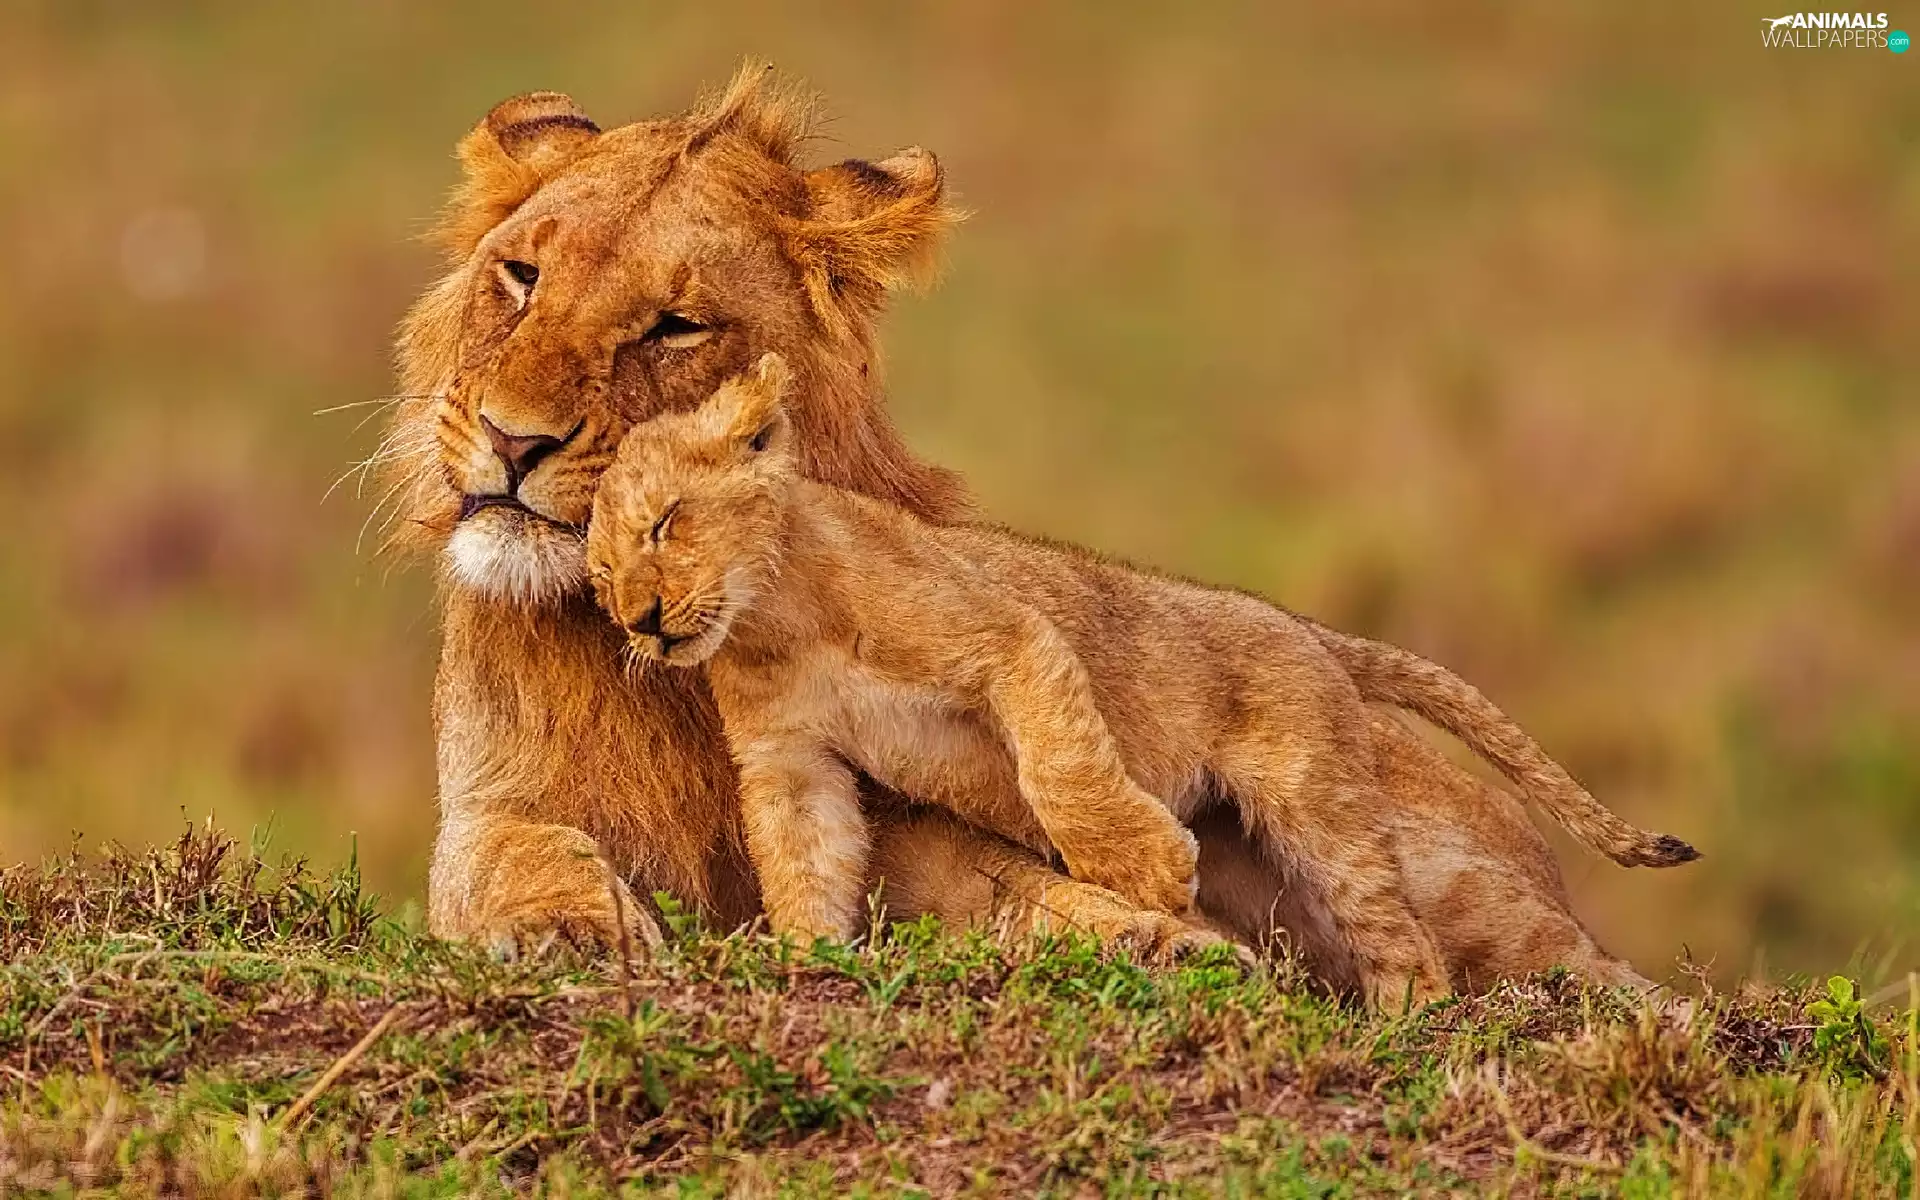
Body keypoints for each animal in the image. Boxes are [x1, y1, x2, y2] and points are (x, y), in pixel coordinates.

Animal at [377, 62, 1686, 990]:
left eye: (673, 327)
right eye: (520, 277)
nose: (512, 442)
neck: (644, 667)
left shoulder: (924, 806)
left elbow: (1022, 889)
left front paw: (1154, 928)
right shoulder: (495, 808)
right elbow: (514, 862)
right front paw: (578, 933)